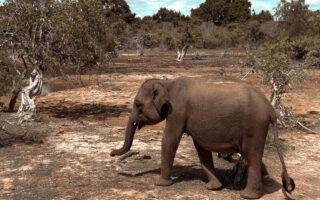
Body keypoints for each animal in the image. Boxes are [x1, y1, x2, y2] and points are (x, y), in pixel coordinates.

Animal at [110, 76, 296, 198]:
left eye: (138, 105)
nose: (112, 152)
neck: (166, 83)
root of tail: (271, 109)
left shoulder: (177, 111)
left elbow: (170, 140)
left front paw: (160, 184)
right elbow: (201, 147)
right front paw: (213, 188)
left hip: (255, 127)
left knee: (253, 157)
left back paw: (248, 195)